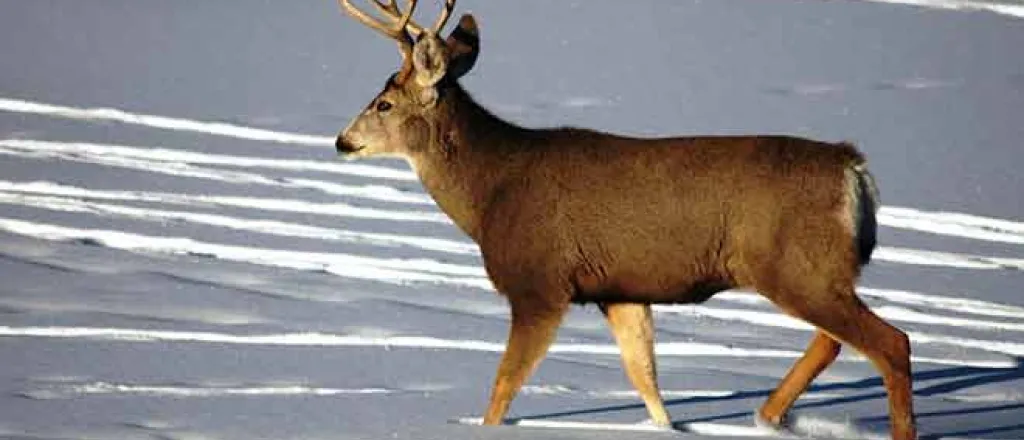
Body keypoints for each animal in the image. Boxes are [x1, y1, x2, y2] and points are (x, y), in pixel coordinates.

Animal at [332, 1, 916, 439]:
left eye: (383, 104)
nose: (342, 140)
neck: (491, 192)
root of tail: (852, 166)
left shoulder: (539, 283)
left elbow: (502, 387)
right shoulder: (621, 291)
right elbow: (647, 382)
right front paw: (666, 426)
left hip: (794, 264)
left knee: (891, 343)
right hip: (808, 269)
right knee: (837, 340)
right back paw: (768, 417)